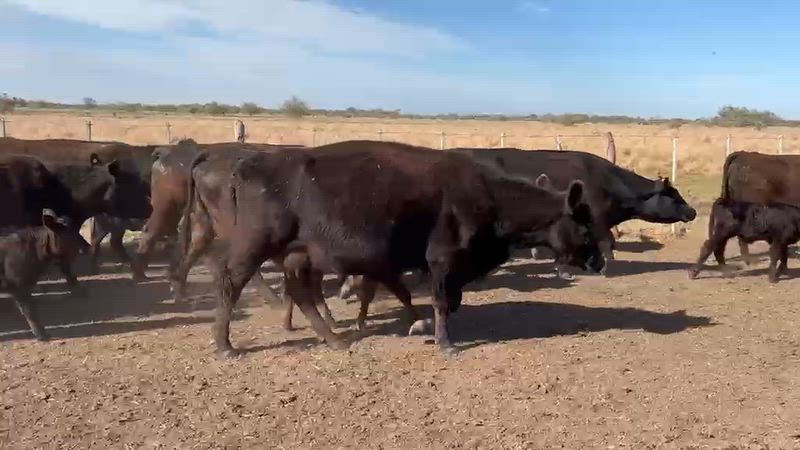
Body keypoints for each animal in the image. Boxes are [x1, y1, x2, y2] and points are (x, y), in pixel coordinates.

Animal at [1, 209, 91, 341]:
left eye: (77, 230)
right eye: (66, 232)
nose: (88, 247)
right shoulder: (19, 286)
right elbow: (30, 310)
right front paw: (43, 336)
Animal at [209, 140, 604, 358]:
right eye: (585, 226)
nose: (599, 262)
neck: (487, 197)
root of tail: (253, 162)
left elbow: (430, 298)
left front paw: (421, 326)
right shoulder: (442, 260)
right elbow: (441, 301)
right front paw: (444, 342)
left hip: (297, 255)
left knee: (301, 294)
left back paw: (334, 339)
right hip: (255, 247)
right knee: (231, 284)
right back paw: (225, 345)